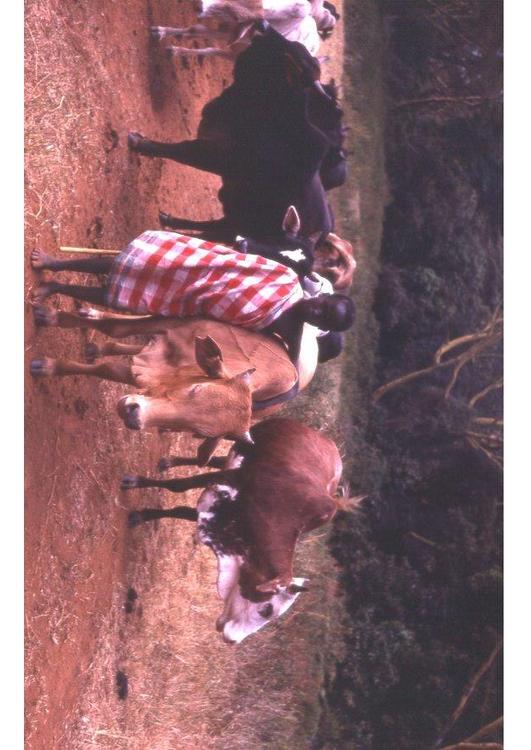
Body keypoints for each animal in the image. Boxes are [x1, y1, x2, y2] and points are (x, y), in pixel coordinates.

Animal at [122, 420, 342, 644]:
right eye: (267, 609)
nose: (233, 640)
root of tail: (324, 438)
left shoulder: (221, 514)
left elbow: (181, 510)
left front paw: (142, 515)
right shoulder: (231, 479)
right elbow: (178, 485)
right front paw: (136, 486)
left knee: (215, 460)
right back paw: (169, 457)